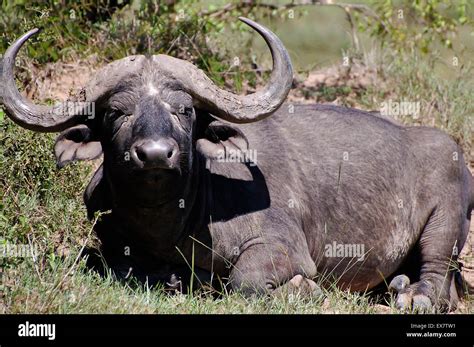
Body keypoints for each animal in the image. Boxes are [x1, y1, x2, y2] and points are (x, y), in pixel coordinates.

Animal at [1, 18, 472, 312]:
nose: (154, 154)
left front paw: (300, 289)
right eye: (118, 112)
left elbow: (245, 281)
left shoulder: (284, 246)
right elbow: (112, 265)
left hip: (446, 222)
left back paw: (412, 294)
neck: (170, 224)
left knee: (437, 275)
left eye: (184, 110)